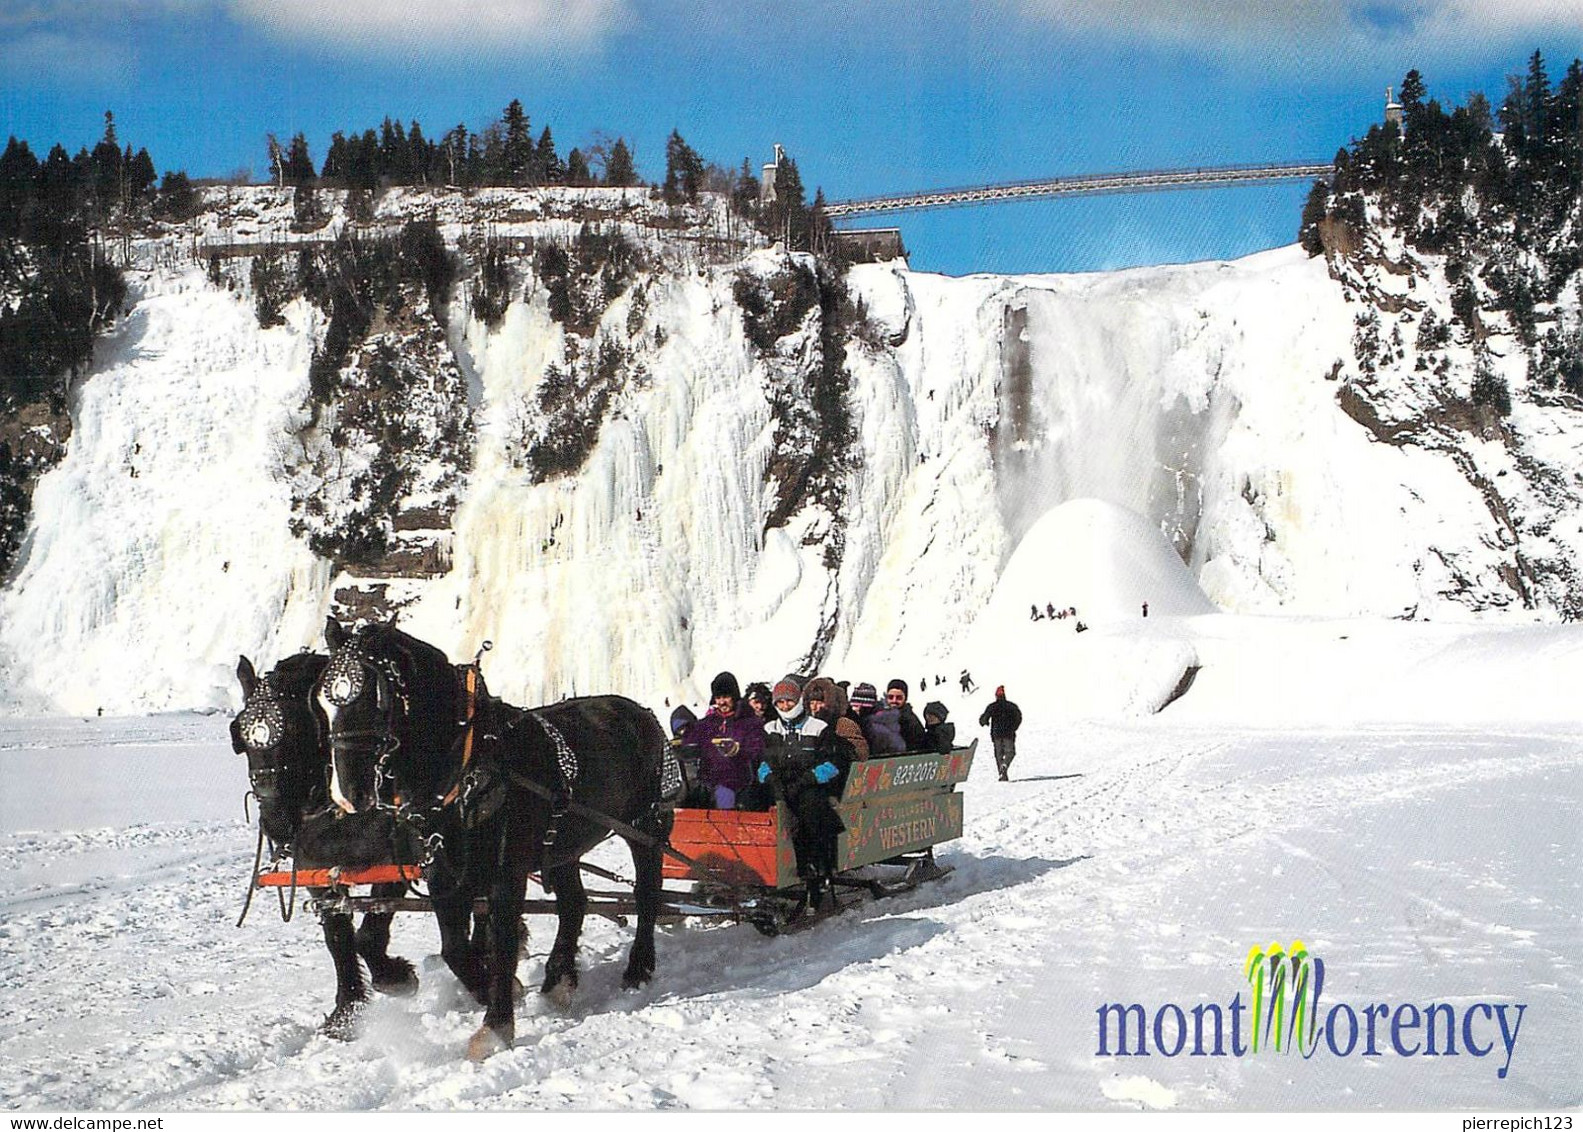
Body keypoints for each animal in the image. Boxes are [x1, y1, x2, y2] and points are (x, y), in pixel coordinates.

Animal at [229, 655, 417, 1038]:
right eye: (240, 733)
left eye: (296, 729)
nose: (276, 822)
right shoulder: (316, 871)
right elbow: (337, 937)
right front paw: (347, 1011)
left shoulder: (398, 859)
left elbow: (369, 932)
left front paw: (395, 976)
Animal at [318, 620, 671, 1063]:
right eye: (323, 702)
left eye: (377, 697)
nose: (351, 793)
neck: (468, 767)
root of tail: (642, 713)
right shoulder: (443, 872)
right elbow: (453, 948)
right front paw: (473, 987)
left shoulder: (507, 873)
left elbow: (501, 942)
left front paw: (496, 1025)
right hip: (563, 845)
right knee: (574, 902)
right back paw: (559, 978)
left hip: (644, 825)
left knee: (646, 894)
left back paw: (638, 967)